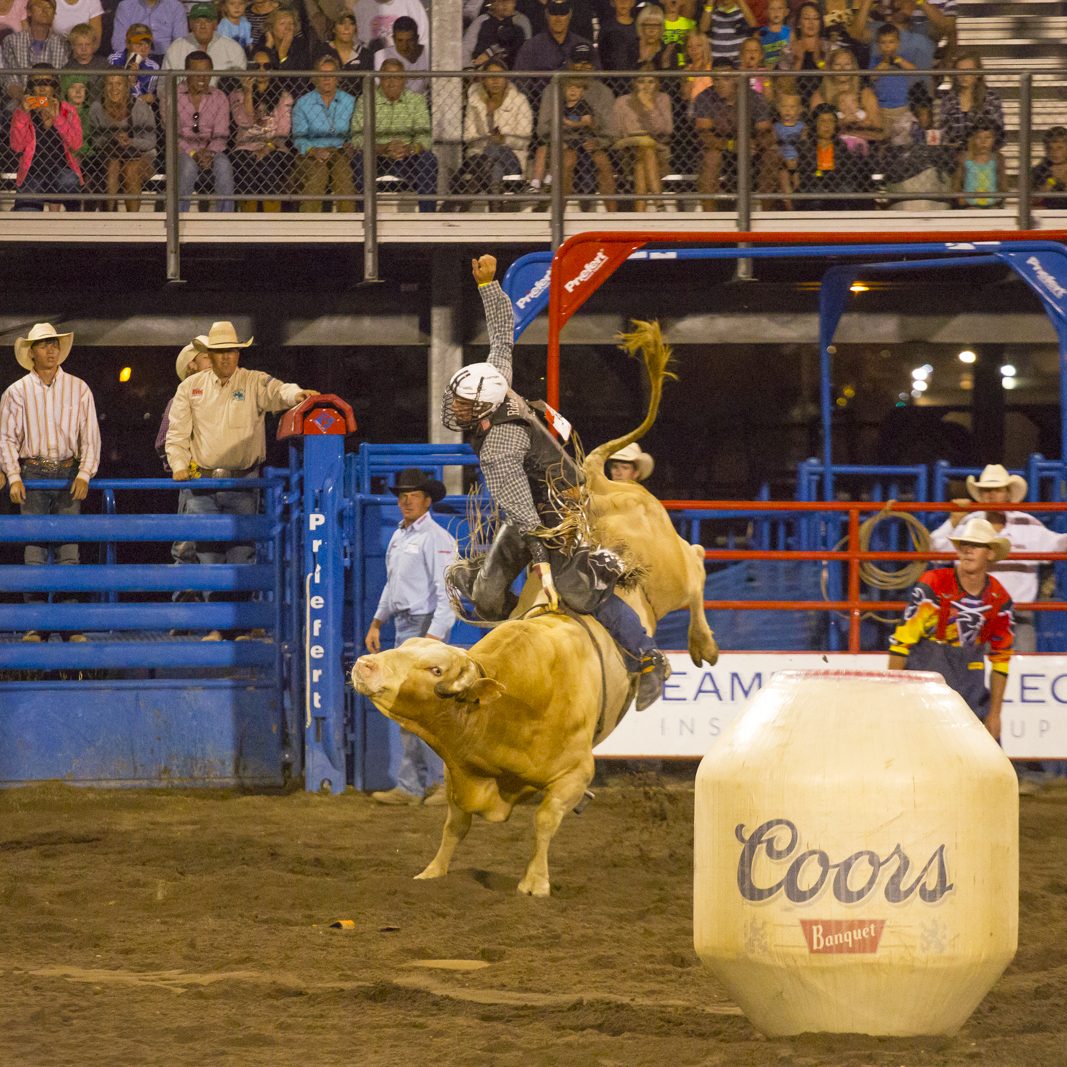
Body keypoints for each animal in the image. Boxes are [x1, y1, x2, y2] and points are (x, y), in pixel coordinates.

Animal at [352, 320, 717, 896]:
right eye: (402, 649)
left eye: (434, 668)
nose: (365, 664)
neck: (505, 705)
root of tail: (598, 479)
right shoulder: (463, 779)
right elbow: (455, 823)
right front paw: (432, 871)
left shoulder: (575, 773)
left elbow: (545, 819)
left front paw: (534, 883)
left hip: (668, 573)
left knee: (697, 562)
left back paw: (700, 646)